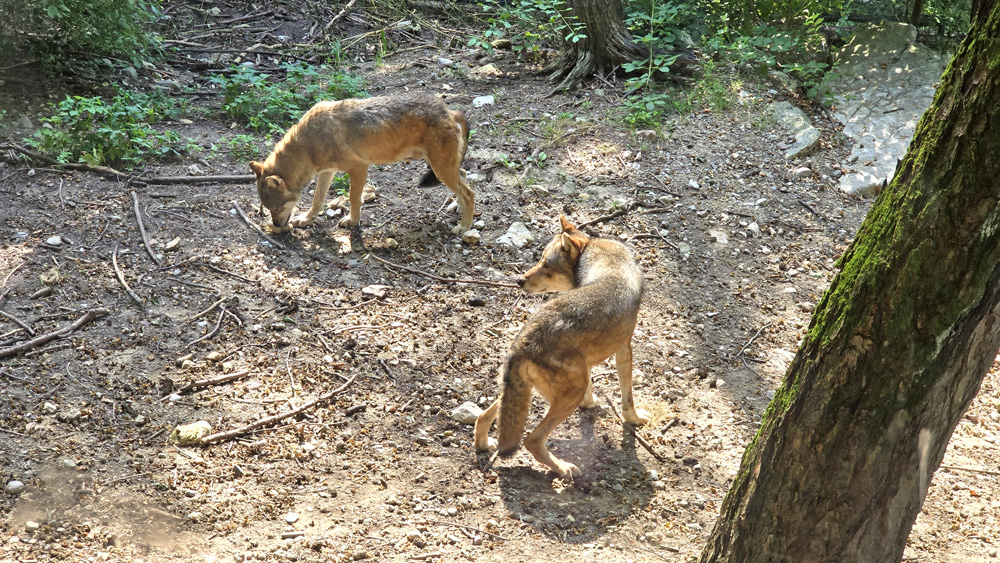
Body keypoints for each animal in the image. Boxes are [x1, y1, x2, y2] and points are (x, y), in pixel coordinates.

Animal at [248, 93, 470, 235]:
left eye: (277, 207)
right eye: (268, 208)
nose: (276, 225)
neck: (309, 143)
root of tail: (450, 111)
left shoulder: (359, 168)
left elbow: (354, 199)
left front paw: (353, 221)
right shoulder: (327, 172)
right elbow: (317, 200)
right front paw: (306, 219)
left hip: (439, 169)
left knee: (470, 193)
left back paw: (465, 227)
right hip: (441, 168)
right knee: (466, 176)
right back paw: (457, 208)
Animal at [474, 216, 652, 476]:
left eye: (546, 264)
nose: (519, 280)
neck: (596, 253)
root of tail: (522, 343)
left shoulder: (589, 362)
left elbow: (594, 389)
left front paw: (590, 404)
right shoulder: (624, 349)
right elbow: (627, 396)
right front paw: (635, 420)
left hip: (526, 389)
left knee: (483, 417)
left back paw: (483, 445)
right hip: (570, 394)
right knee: (531, 440)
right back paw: (563, 468)